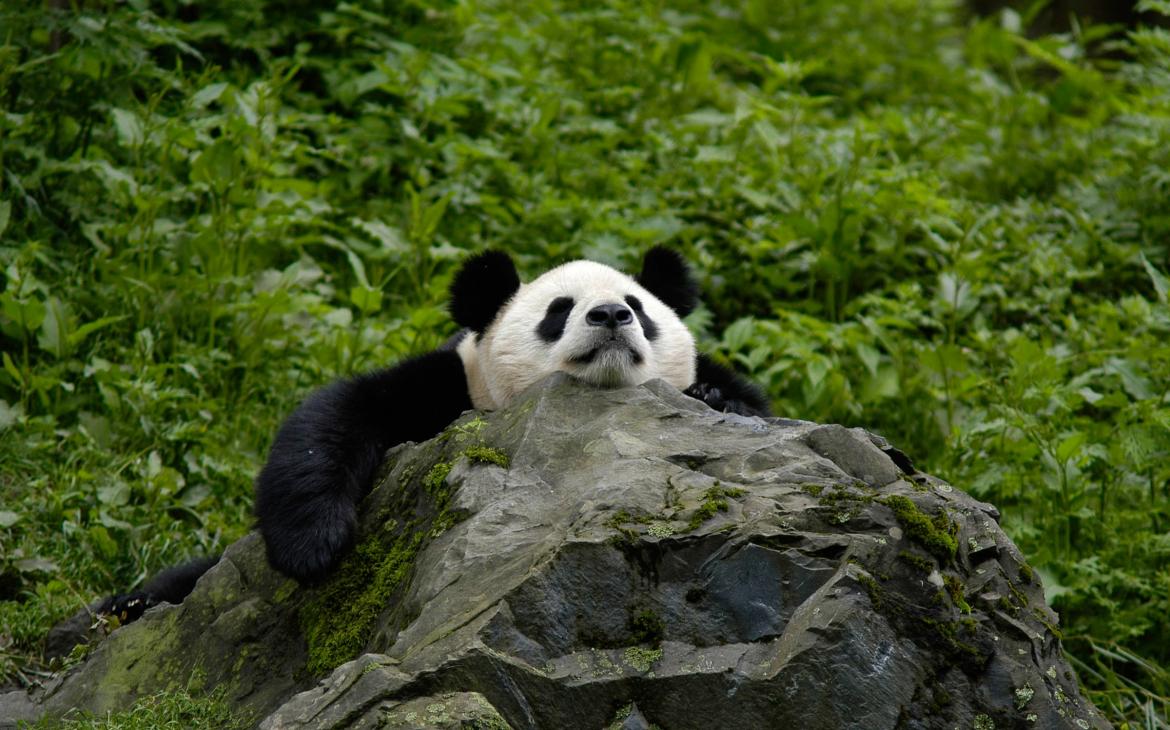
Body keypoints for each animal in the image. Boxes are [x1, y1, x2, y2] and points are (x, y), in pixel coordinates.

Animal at [102, 248, 767, 613]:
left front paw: (717, 401)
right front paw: (314, 544)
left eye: (641, 308)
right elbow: (338, 414)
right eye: (558, 312)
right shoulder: (453, 387)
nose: (610, 315)